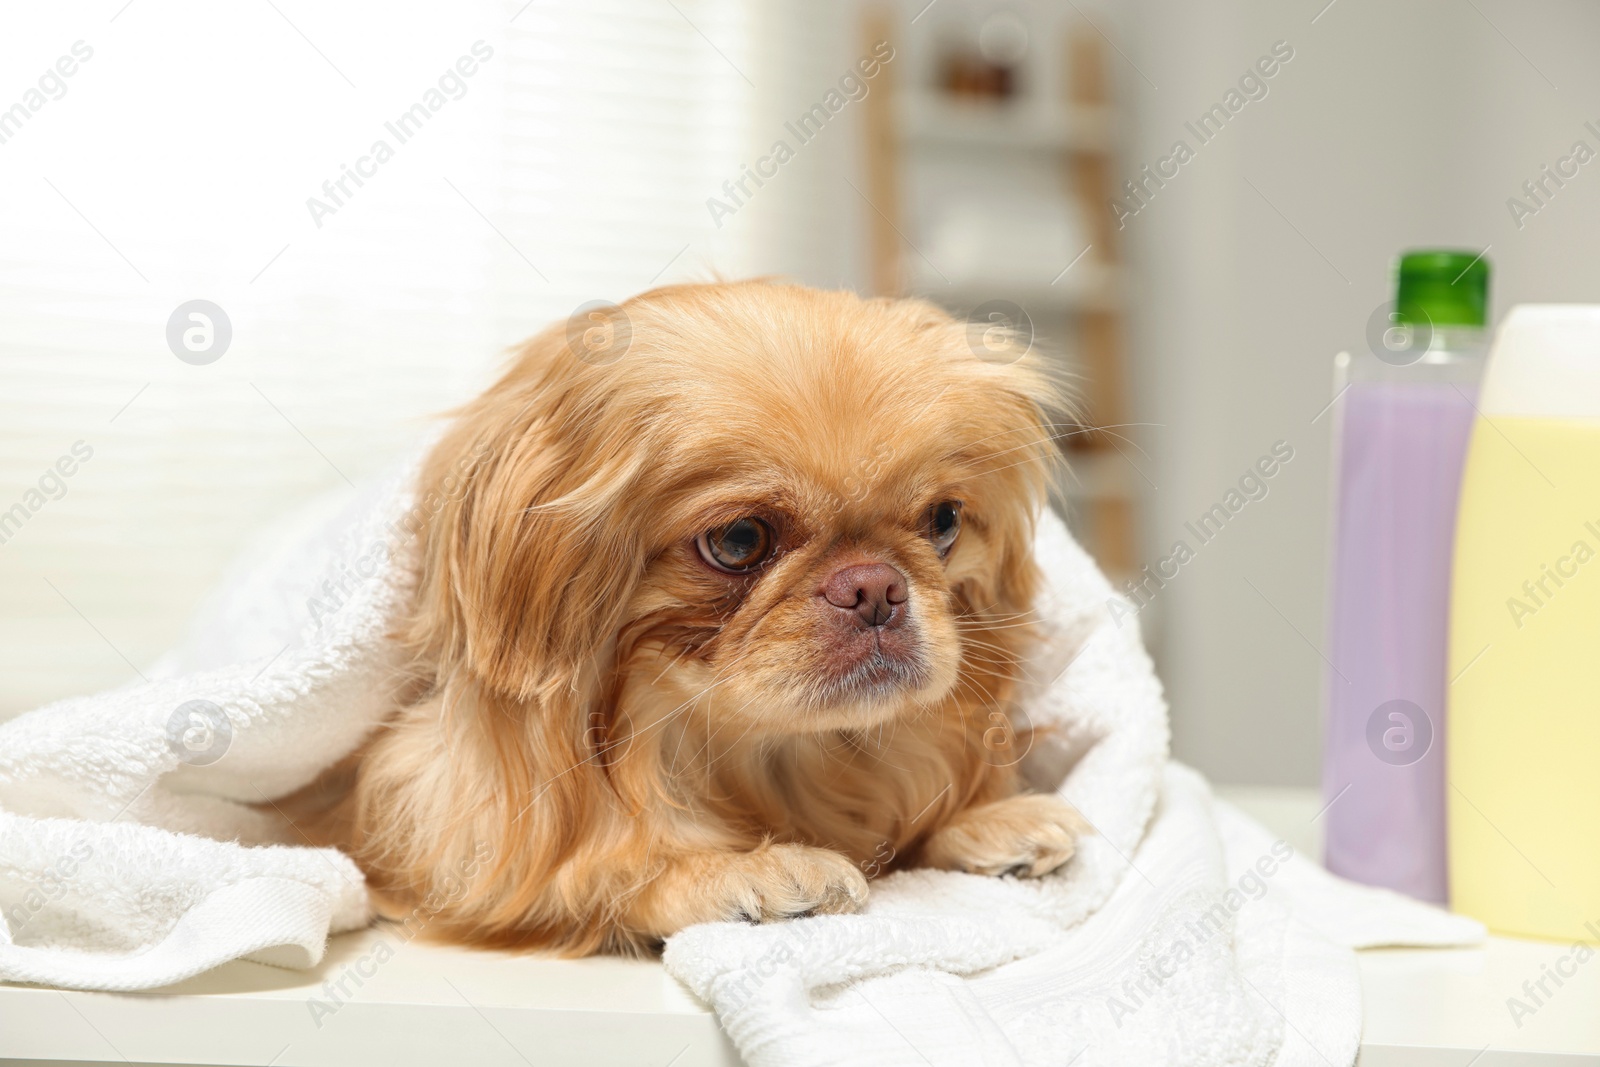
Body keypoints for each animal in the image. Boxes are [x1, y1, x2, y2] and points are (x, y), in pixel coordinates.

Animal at [337, 281, 1088, 953]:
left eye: (943, 521)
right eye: (738, 540)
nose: (875, 586)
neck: (764, 756)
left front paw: (986, 822)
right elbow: (603, 873)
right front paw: (744, 869)